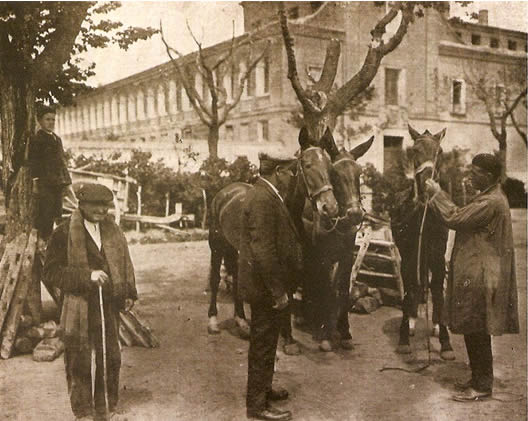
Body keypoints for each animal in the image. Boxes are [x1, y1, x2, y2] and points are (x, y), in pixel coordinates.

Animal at [206, 127, 338, 342]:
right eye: (307, 165)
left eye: (330, 167)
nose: (330, 207)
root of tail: (225, 192)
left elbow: (289, 294)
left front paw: (288, 337)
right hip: (217, 246)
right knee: (216, 279)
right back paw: (213, 321)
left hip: (236, 249)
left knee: (236, 276)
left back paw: (241, 321)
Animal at [296, 129, 376, 352]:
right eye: (335, 174)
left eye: (359, 173)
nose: (355, 213)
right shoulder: (323, 255)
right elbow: (326, 288)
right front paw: (325, 335)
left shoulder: (347, 255)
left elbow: (342, 289)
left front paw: (344, 330)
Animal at [390, 123, 456, 360]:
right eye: (414, 151)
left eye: (440, 152)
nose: (427, 187)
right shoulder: (410, 253)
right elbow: (409, 287)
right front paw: (403, 336)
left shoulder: (437, 254)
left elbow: (437, 289)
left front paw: (445, 341)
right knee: (414, 285)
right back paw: (411, 321)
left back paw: (435, 323)